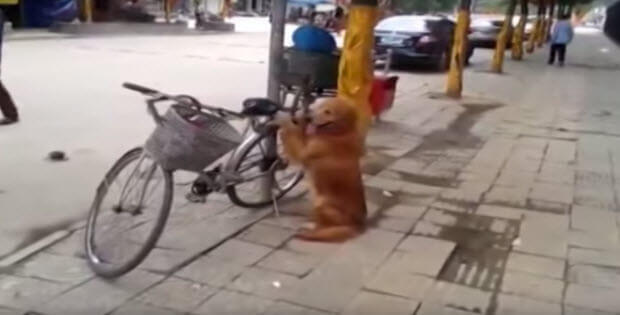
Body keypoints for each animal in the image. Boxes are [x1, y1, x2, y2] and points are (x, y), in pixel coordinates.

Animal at [278, 98, 366, 242]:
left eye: (328, 112)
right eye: (319, 106)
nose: (309, 117)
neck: (340, 133)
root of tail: (355, 226)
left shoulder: (303, 153)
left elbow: (292, 135)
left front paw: (286, 124)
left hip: (321, 203)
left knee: (324, 226)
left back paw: (311, 230)